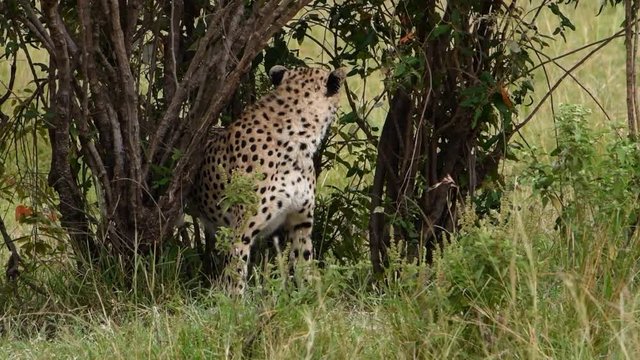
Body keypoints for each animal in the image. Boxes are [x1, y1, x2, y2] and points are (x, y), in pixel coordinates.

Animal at [192, 65, 348, 292]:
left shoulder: (300, 223)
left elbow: (304, 264)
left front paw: (310, 295)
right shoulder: (240, 231)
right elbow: (235, 276)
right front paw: (233, 300)